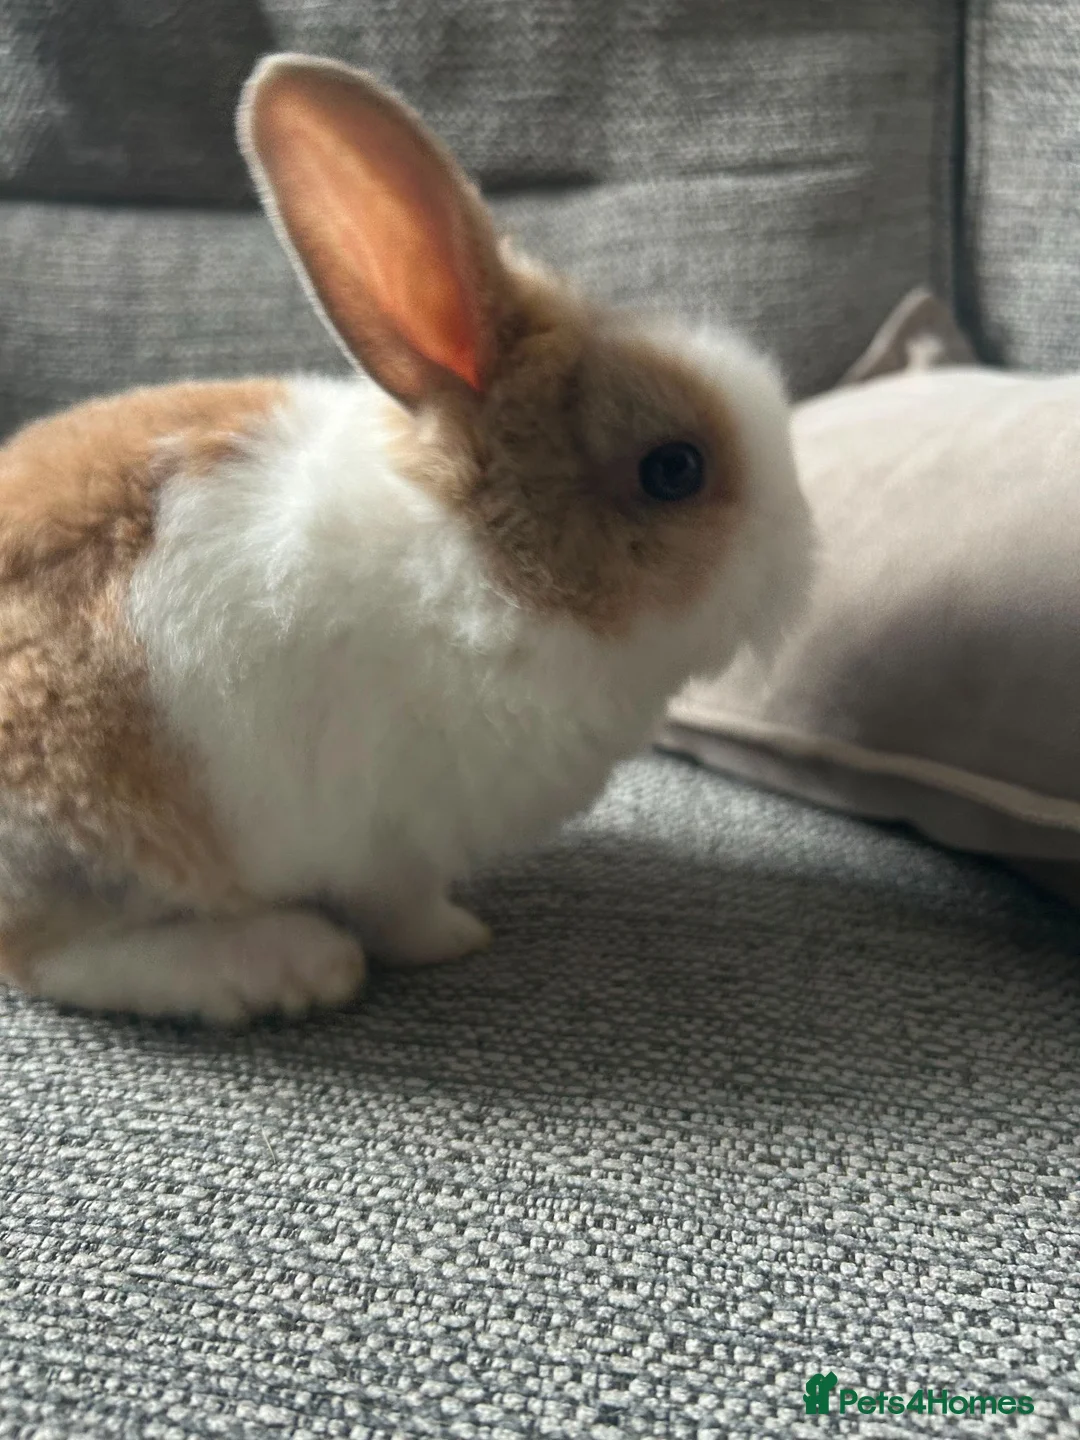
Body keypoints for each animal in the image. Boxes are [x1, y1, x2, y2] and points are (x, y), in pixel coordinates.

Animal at [0, 55, 813, 1023]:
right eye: (675, 469)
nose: (804, 546)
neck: (483, 567)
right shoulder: (393, 845)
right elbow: (404, 910)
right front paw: (456, 940)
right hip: (90, 831)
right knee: (49, 956)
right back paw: (291, 964)